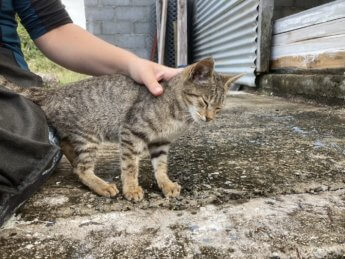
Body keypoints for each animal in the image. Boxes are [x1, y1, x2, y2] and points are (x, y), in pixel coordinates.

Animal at [0, 58, 242, 202]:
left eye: (218, 107)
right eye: (204, 101)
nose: (209, 119)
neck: (179, 116)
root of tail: (52, 92)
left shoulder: (160, 142)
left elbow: (161, 166)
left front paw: (165, 183)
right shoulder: (131, 131)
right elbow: (130, 165)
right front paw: (132, 188)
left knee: (66, 146)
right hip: (89, 136)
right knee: (81, 169)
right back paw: (101, 185)